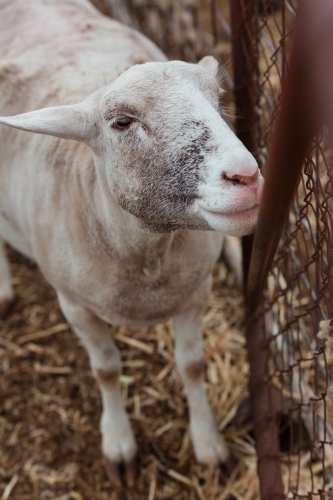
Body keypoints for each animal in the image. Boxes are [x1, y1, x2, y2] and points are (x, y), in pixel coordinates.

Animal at [0, 0, 262, 486]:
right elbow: (105, 370)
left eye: (218, 103)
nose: (246, 175)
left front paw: (209, 445)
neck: (144, 258)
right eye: (122, 122)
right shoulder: (75, 305)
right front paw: (119, 444)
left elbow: (192, 365)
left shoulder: (195, 293)